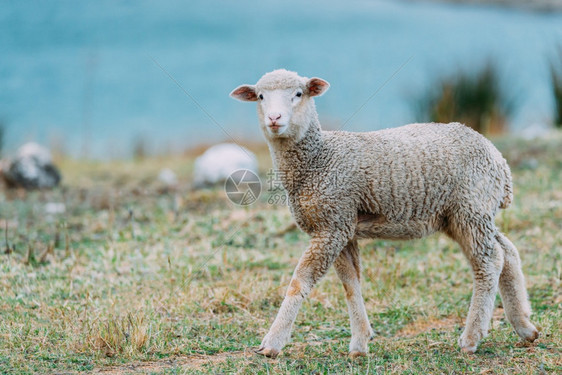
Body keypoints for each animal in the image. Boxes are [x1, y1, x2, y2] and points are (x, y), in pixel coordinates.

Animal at [229, 69, 540, 360]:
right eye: (260, 96)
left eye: (298, 94)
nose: (274, 118)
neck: (318, 159)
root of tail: (499, 160)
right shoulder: (342, 227)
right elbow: (350, 283)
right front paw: (360, 342)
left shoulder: (331, 225)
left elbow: (299, 282)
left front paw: (272, 343)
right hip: (467, 214)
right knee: (507, 252)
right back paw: (524, 326)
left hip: (470, 208)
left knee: (489, 262)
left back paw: (472, 337)